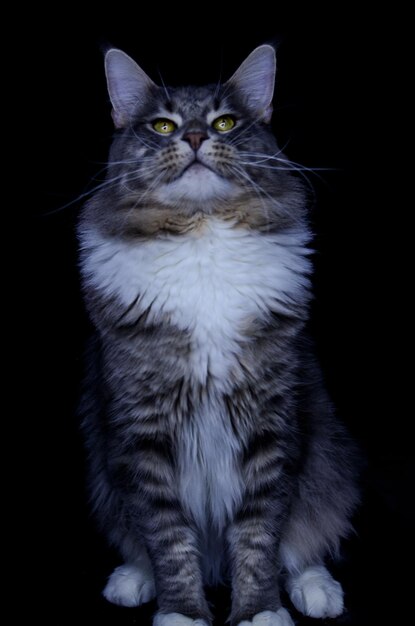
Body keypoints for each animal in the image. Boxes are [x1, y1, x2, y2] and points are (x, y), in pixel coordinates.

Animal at [78, 45, 360, 624]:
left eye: (224, 122)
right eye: (162, 126)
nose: (192, 137)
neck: (201, 230)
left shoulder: (271, 421)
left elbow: (259, 534)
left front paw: (259, 611)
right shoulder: (141, 429)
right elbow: (167, 537)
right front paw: (181, 612)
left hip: (328, 461)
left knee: (306, 538)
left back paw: (317, 590)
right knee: (138, 540)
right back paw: (132, 579)